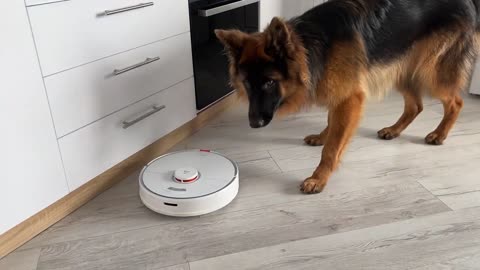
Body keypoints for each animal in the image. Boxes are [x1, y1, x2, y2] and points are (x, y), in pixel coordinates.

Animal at [215, 0, 480, 194]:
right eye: (247, 84)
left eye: (270, 82)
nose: (254, 123)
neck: (313, 46)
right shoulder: (340, 93)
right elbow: (331, 124)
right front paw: (323, 136)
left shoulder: (349, 98)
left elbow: (332, 148)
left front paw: (319, 178)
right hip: (401, 68)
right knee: (415, 105)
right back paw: (393, 130)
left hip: (430, 71)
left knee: (455, 102)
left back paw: (440, 134)